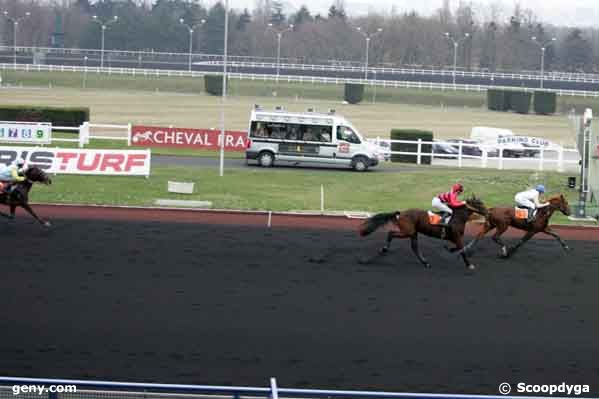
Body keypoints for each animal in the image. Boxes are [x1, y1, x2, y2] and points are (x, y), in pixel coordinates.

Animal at [360, 198, 488, 272]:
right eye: (480, 204)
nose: (487, 212)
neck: (458, 218)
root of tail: (401, 213)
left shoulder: (454, 237)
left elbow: (460, 248)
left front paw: (449, 249)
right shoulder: (456, 236)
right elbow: (462, 250)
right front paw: (469, 265)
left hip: (413, 233)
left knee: (414, 247)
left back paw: (425, 263)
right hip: (407, 231)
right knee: (391, 234)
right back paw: (384, 249)